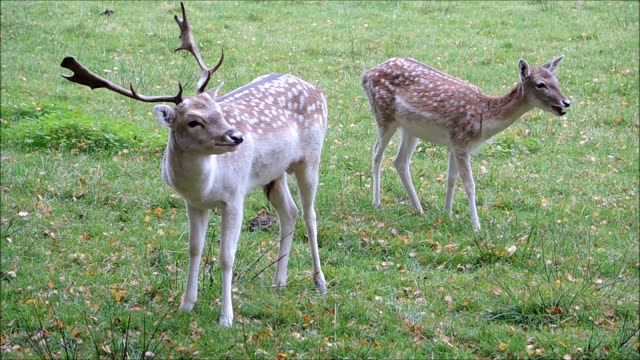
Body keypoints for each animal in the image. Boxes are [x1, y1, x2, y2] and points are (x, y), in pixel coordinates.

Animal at [61, 2, 324, 328]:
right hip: (273, 173)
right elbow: (194, 249)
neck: (205, 185)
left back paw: (319, 282)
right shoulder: (193, 203)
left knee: (310, 215)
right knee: (289, 212)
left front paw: (226, 318)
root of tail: (318, 89)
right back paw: (279, 282)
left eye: (219, 111)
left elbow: (226, 256)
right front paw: (186, 305)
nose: (237, 136)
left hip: (311, 157)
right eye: (194, 121)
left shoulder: (234, 196)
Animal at [362, 56, 572, 231]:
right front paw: (476, 227)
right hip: (384, 115)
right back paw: (376, 202)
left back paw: (419, 209)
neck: (483, 118)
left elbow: (451, 179)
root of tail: (365, 75)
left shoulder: (455, 144)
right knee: (377, 153)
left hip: (411, 129)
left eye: (557, 81)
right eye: (540, 84)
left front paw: (447, 214)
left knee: (400, 161)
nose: (566, 102)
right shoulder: (461, 141)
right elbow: (469, 184)